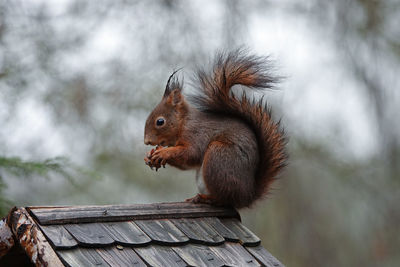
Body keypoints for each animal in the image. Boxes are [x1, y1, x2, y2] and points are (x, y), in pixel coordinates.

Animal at [144, 49, 288, 209]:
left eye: (160, 121)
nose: (147, 141)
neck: (184, 123)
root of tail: (247, 196)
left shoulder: (197, 133)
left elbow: (192, 153)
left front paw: (164, 152)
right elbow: (186, 163)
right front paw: (150, 155)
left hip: (218, 156)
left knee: (225, 199)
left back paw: (204, 198)